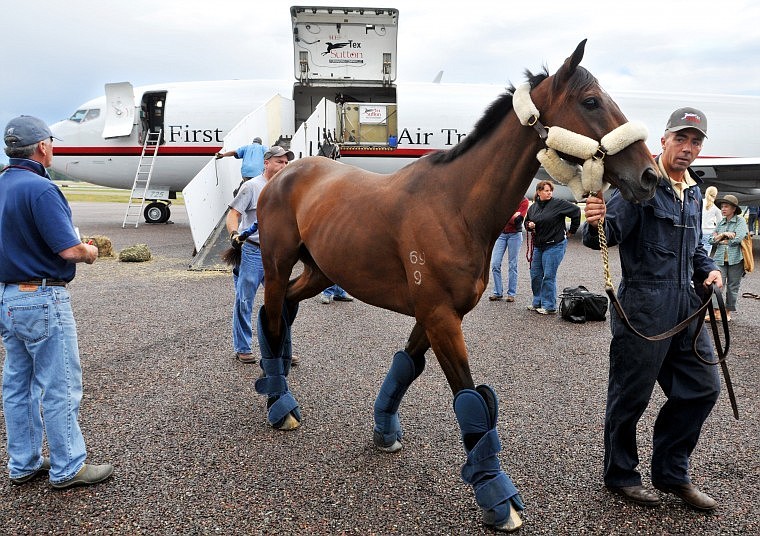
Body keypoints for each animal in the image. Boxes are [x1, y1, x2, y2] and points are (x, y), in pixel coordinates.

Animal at [252, 40, 656, 532]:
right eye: (592, 101)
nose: (649, 175)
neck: (456, 205)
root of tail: (283, 175)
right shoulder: (441, 316)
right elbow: (472, 402)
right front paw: (499, 500)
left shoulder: (438, 314)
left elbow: (406, 366)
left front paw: (384, 431)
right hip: (277, 266)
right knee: (273, 316)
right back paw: (280, 404)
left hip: (320, 272)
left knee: (279, 312)